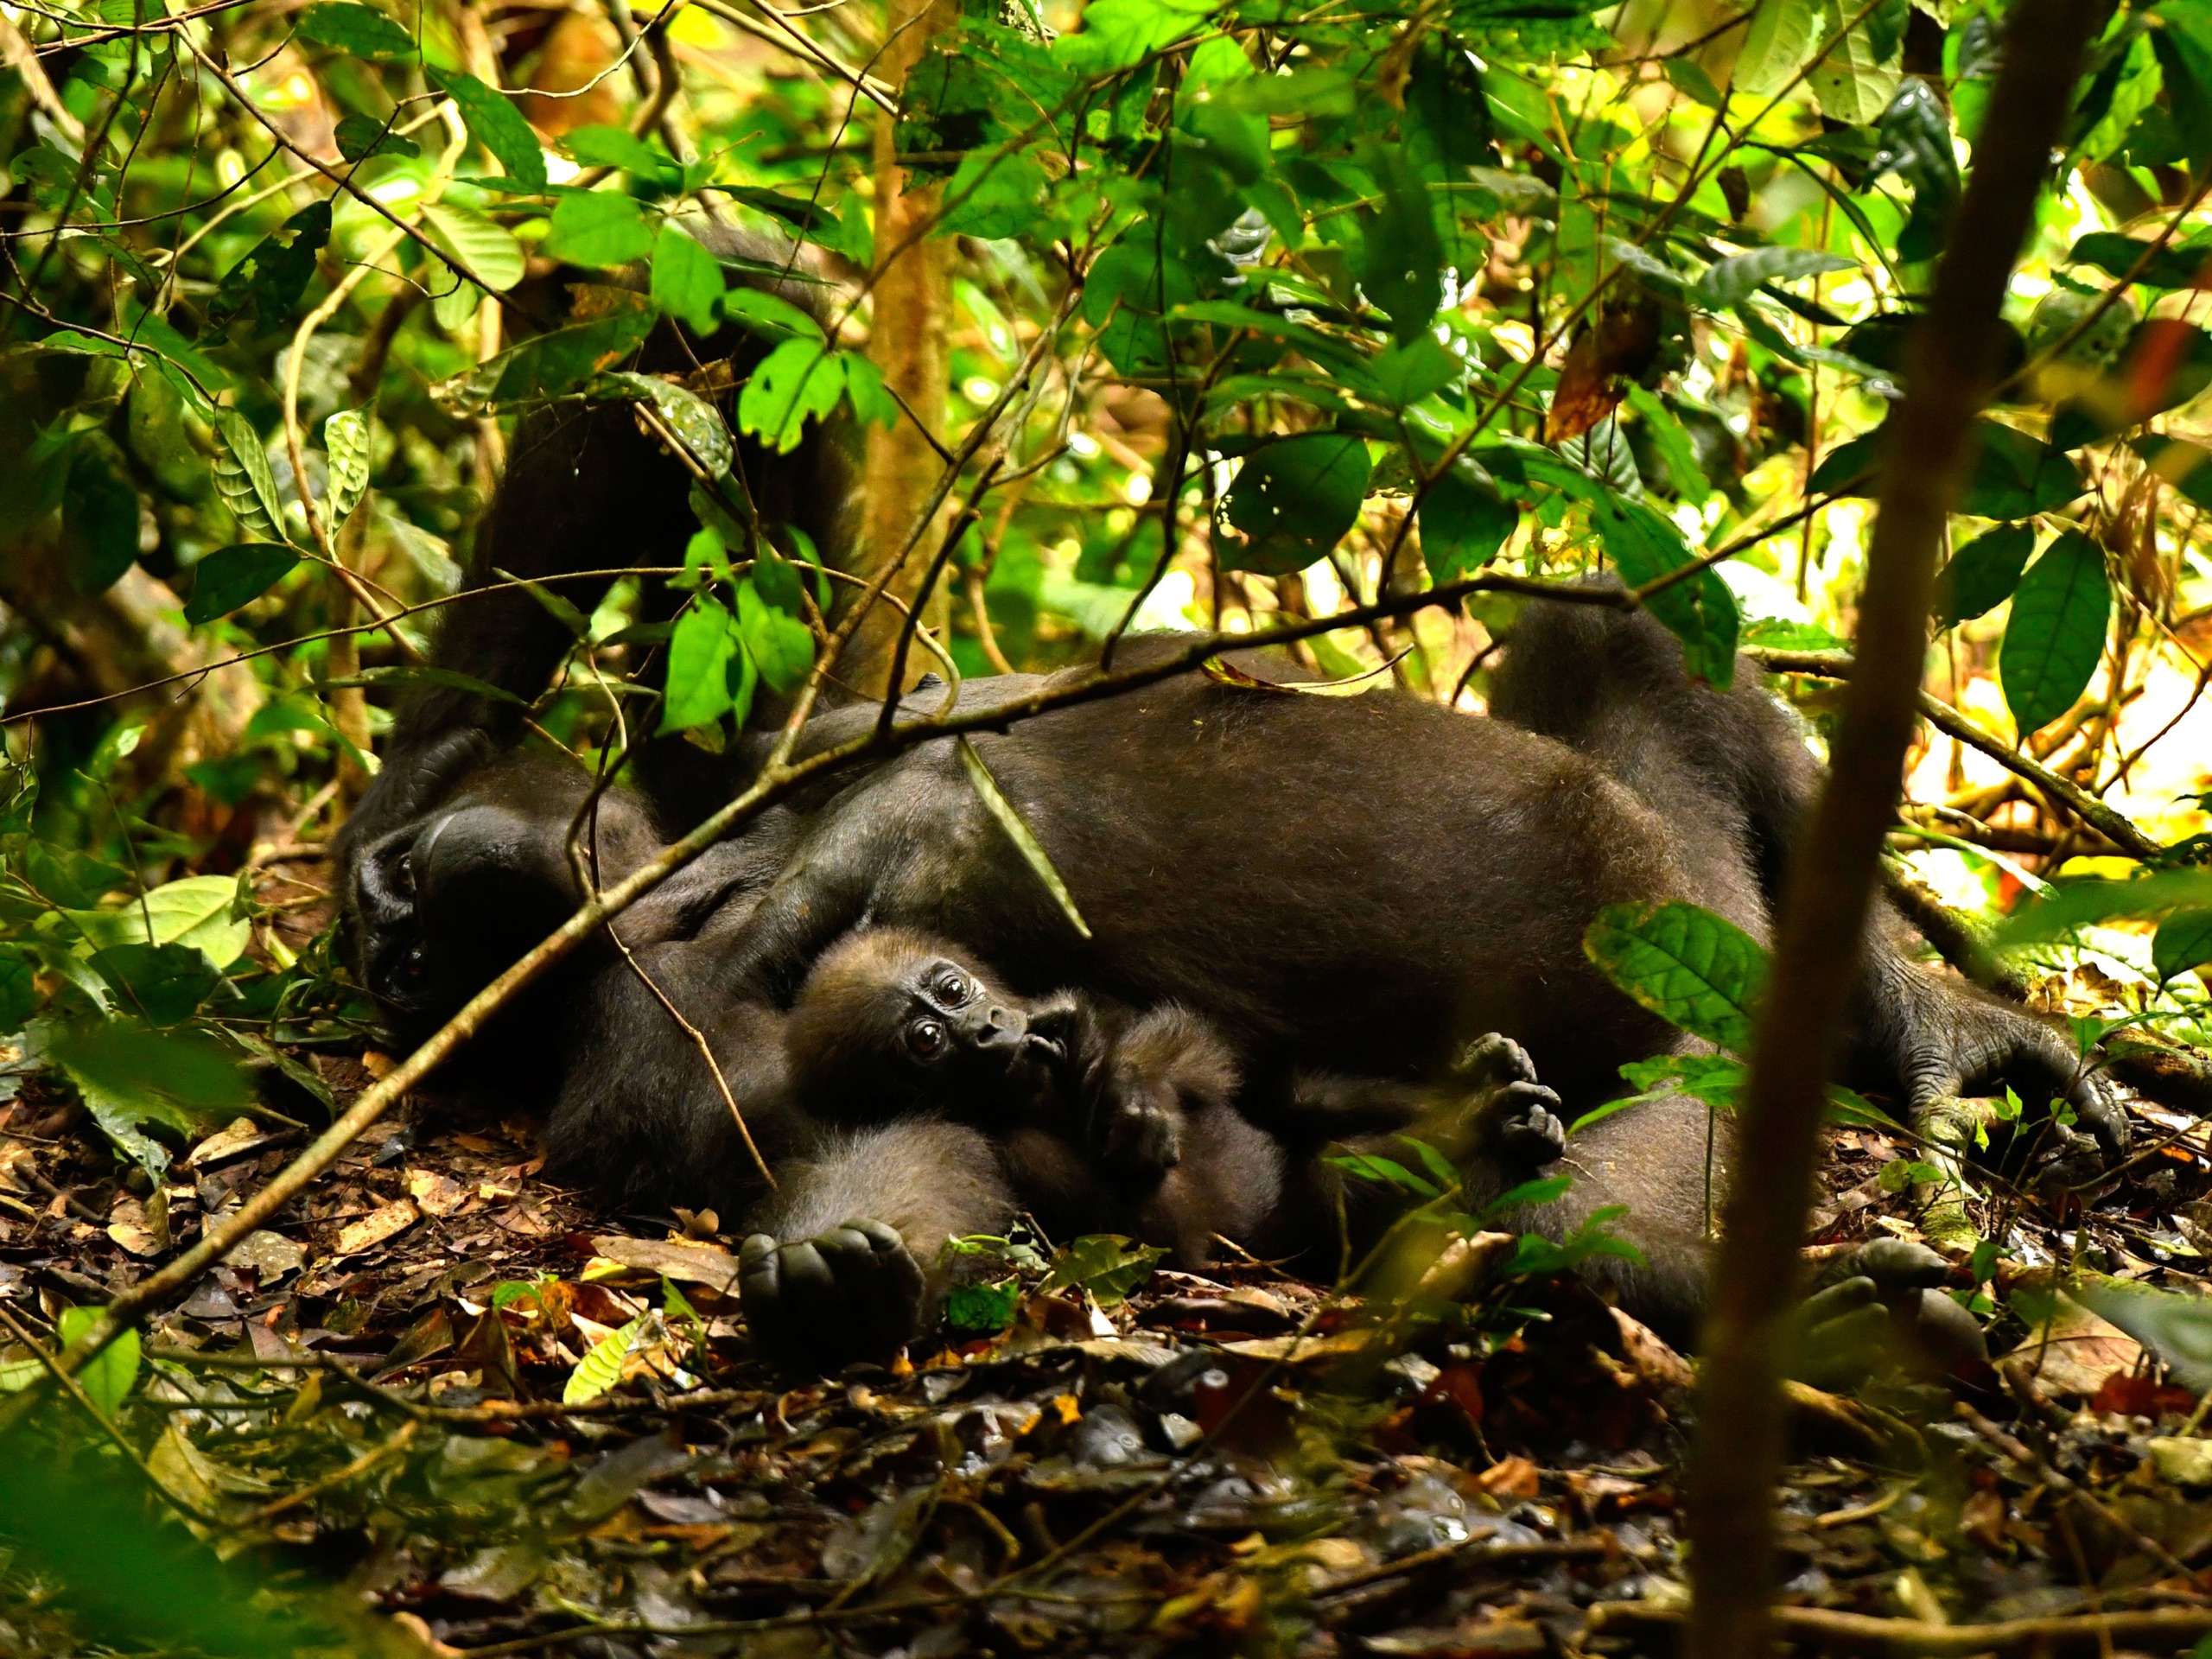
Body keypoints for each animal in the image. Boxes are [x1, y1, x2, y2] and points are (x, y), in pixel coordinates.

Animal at [779, 929, 1282, 1265]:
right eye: (927, 1039)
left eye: (953, 990)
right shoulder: (1007, 1150)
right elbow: (1165, 1231)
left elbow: (1201, 1052)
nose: (986, 1027)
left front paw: (1131, 1084)